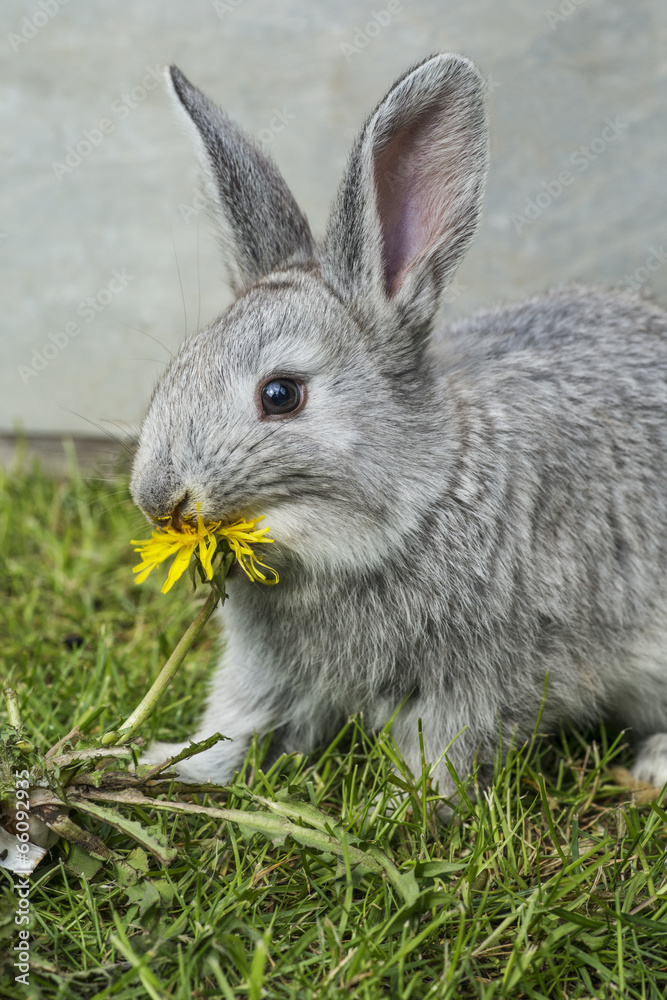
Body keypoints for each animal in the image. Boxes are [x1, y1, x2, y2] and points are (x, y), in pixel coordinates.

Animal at [131, 53, 667, 799]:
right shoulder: (266, 675)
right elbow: (236, 725)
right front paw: (160, 763)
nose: (157, 497)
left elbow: (439, 756)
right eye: (177, 367)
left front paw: (394, 807)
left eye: (280, 395)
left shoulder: (473, 683)